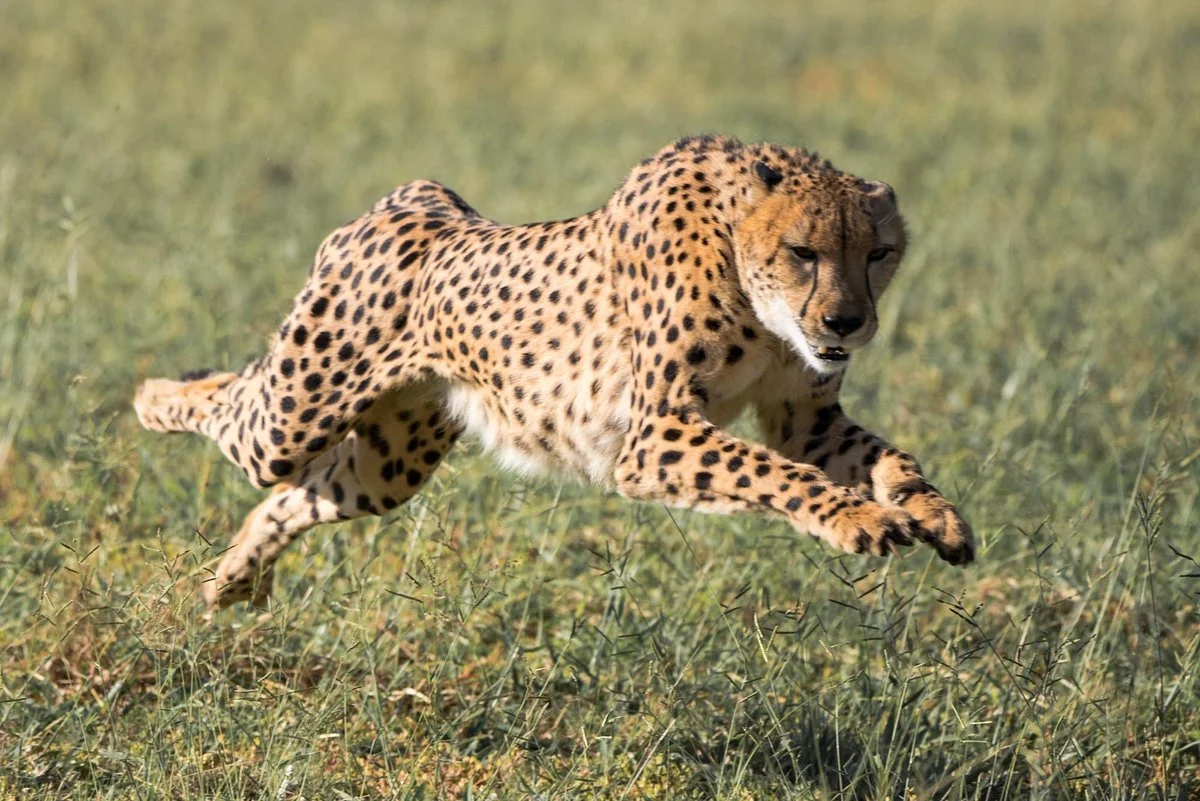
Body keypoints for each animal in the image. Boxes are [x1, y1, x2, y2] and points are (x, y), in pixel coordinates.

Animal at [134, 135, 975, 610]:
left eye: (879, 252)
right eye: (804, 251)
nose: (846, 323)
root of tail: (420, 199)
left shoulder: (806, 420)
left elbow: (886, 456)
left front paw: (933, 514)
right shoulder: (654, 437)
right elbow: (775, 473)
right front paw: (859, 518)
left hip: (391, 462)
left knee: (296, 495)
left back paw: (234, 580)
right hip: (297, 408)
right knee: (236, 407)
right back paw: (150, 395)